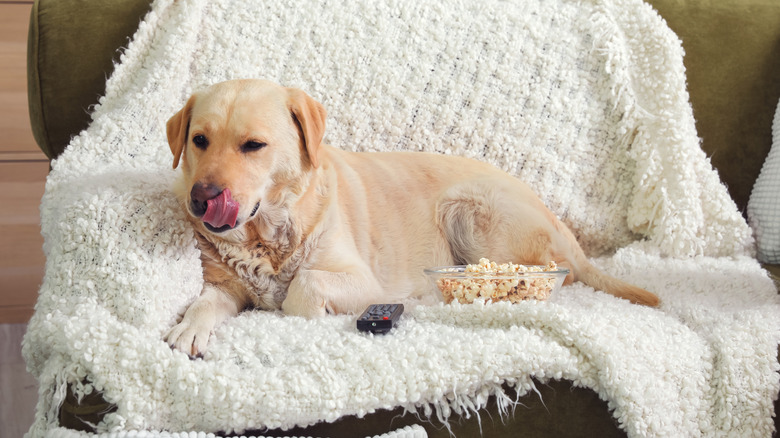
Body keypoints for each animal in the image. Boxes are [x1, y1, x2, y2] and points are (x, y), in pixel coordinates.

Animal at [166, 79, 660, 356]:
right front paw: (190, 327)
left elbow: (302, 288)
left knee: (545, 272)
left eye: (253, 145)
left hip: (470, 209)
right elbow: (208, 301)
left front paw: (303, 308)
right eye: (199, 140)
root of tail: (557, 220)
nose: (201, 199)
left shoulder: (364, 281)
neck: (265, 235)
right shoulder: (225, 285)